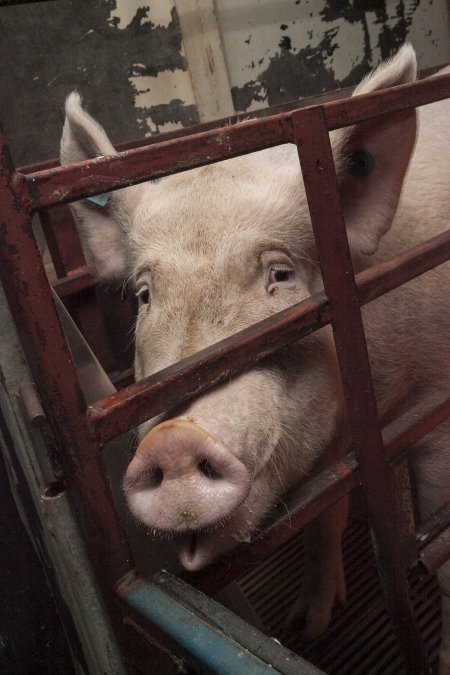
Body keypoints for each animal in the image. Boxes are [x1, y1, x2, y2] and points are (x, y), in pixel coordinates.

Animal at [60, 45, 450, 672]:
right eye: (145, 295)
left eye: (281, 274)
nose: (172, 439)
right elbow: (322, 522)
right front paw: (306, 627)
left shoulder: (437, 404)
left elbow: (438, 552)